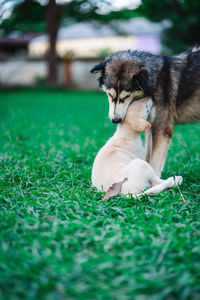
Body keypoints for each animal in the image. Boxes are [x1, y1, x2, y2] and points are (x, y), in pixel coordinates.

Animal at [91, 47, 200, 176]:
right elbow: (148, 157)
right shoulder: (150, 127)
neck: (155, 81)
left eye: (126, 96)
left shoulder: (162, 129)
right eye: (109, 94)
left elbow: (154, 162)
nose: (115, 120)